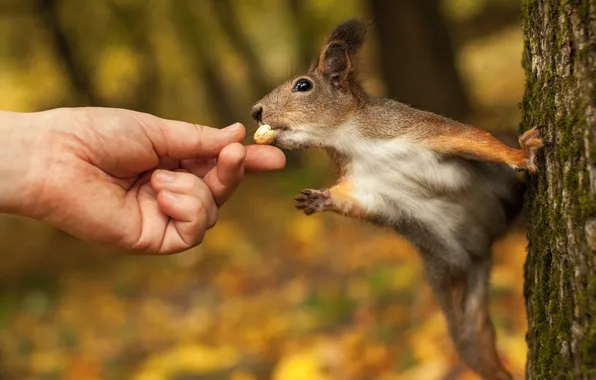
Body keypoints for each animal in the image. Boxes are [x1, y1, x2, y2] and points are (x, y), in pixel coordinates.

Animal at [250, 19, 544, 380]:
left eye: (302, 85)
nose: (255, 112)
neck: (351, 139)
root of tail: (487, 243)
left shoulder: (423, 129)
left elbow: (473, 139)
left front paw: (520, 153)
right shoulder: (366, 187)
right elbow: (353, 202)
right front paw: (319, 199)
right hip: (453, 289)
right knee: (474, 343)